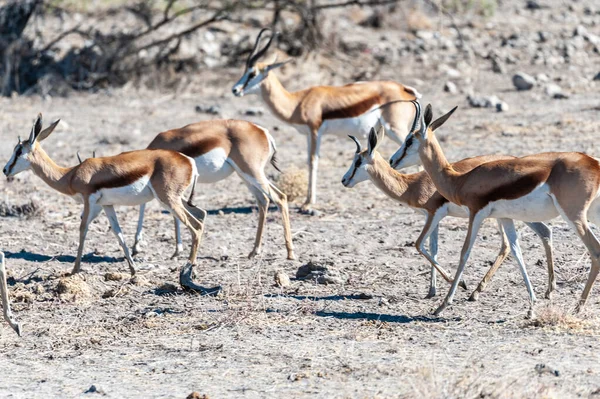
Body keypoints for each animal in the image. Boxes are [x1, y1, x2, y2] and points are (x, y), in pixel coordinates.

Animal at [3, 114, 219, 296]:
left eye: (18, 150)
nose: (5, 169)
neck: (70, 174)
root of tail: (188, 160)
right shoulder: (107, 206)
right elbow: (119, 234)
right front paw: (133, 271)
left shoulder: (89, 202)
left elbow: (83, 229)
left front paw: (74, 270)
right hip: (176, 199)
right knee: (202, 213)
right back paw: (193, 272)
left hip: (168, 200)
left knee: (196, 226)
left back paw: (187, 274)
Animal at [130, 119, 294, 262]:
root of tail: (262, 131)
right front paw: (177, 250)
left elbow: (145, 206)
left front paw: (137, 247)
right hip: (245, 175)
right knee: (263, 200)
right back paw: (254, 251)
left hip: (252, 172)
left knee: (280, 197)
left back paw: (290, 253)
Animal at [232, 28, 420, 212]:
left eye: (252, 73)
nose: (235, 90)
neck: (298, 102)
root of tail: (406, 90)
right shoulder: (308, 134)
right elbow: (309, 161)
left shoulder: (315, 131)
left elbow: (313, 162)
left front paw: (308, 204)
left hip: (395, 129)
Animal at [342, 123, 552, 302]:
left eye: (358, 160)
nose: (344, 180)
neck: (411, 185)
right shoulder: (432, 218)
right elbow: (433, 248)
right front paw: (432, 291)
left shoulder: (433, 214)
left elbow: (419, 245)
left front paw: (460, 283)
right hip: (512, 214)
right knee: (541, 232)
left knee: (509, 244)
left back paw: (478, 292)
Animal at [400, 103, 600, 318]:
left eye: (409, 140)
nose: (393, 160)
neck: (461, 180)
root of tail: (593, 162)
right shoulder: (505, 218)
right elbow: (516, 252)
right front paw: (531, 307)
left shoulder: (476, 213)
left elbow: (464, 253)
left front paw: (443, 305)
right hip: (591, 213)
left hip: (574, 216)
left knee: (595, 252)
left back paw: (578, 308)